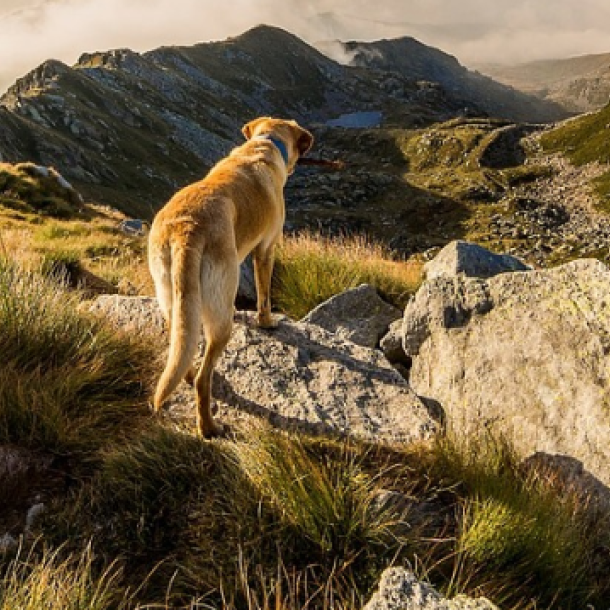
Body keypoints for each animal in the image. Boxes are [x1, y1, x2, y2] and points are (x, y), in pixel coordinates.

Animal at [148, 116, 314, 434]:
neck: (263, 144)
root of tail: (187, 230)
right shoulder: (266, 250)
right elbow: (264, 295)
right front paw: (267, 323)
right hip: (221, 314)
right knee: (204, 379)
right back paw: (209, 427)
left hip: (171, 294)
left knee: (182, 346)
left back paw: (185, 376)